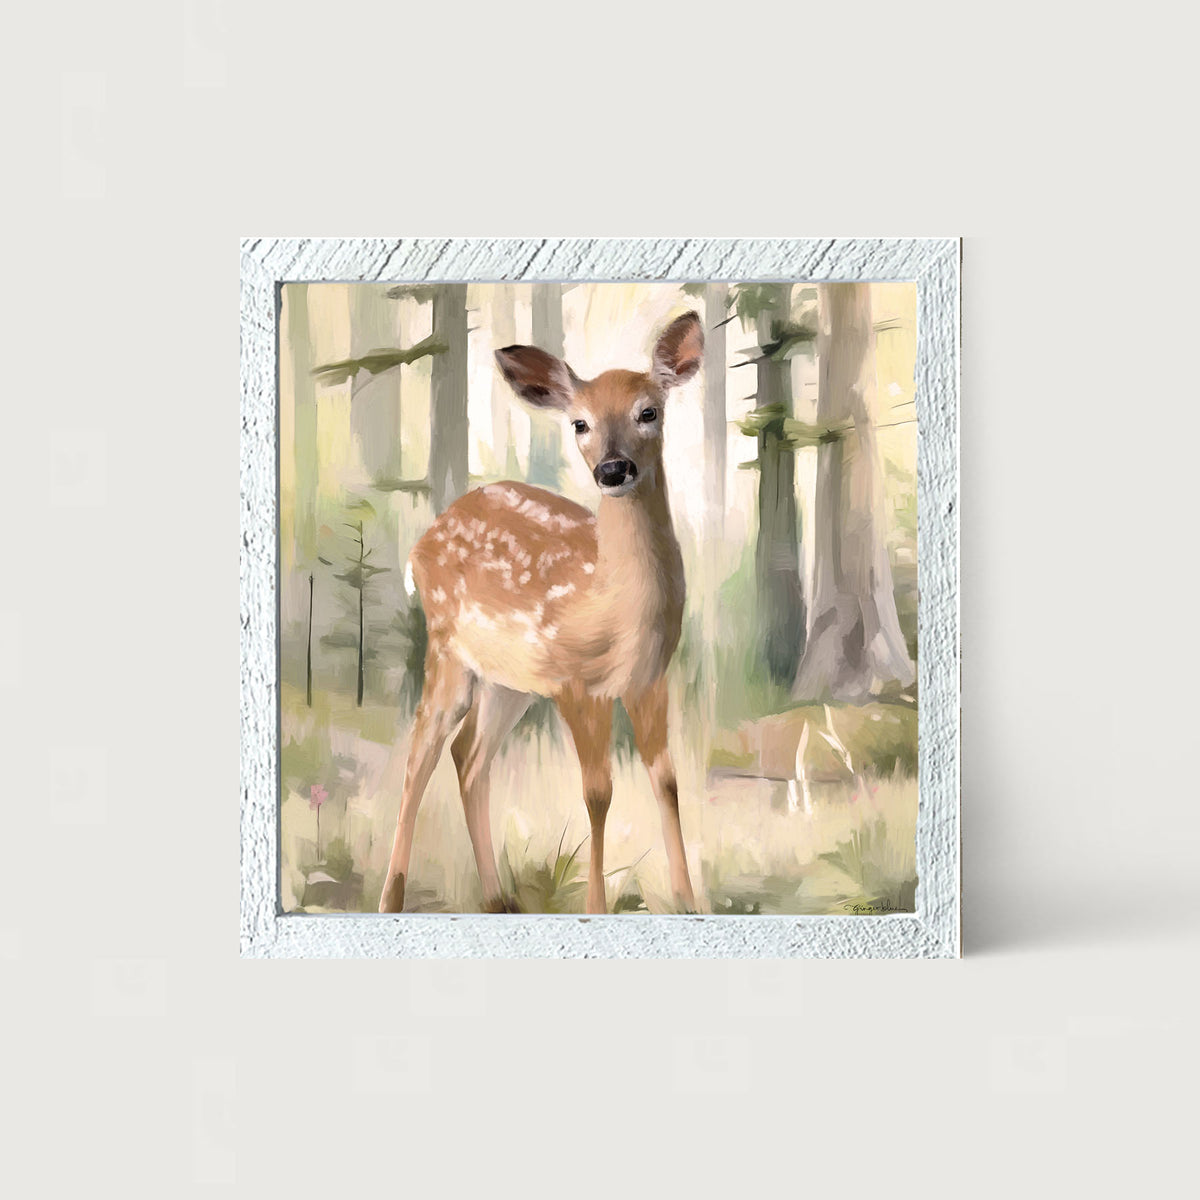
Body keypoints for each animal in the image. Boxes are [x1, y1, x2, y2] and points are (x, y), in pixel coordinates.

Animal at [378, 310, 705, 916]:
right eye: (579, 423)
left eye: (648, 411)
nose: (613, 469)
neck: (616, 606)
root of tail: (422, 542)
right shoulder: (578, 683)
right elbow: (598, 793)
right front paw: (596, 907)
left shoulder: (649, 679)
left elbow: (667, 782)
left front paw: (689, 903)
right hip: (447, 648)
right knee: (419, 754)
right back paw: (392, 897)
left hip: (511, 682)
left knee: (469, 756)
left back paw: (497, 898)